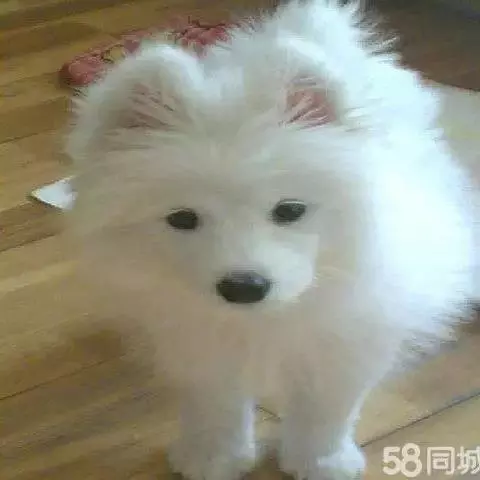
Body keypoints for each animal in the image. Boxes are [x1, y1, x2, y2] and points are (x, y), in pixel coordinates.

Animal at [66, 1, 478, 478]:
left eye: (290, 210)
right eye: (182, 218)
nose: (243, 287)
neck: (261, 322)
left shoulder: (348, 336)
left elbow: (327, 409)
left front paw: (321, 462)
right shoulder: (198, 341)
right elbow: (215, 406)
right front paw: (214, 458)